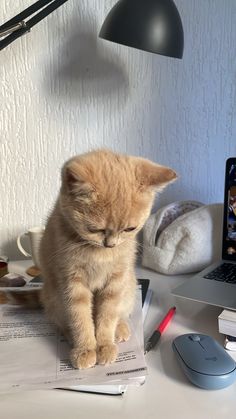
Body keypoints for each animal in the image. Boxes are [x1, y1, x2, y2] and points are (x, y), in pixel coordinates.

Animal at [38, 149, 176, 370]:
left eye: (129, 229)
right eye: (95, 230)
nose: (111, 244)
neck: (99, 254)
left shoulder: (116, 281)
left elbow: (108, 315)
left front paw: (104, 345)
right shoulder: (72, 282)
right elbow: (79, 317)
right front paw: (85, 348)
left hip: (129, 289)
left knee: (121, 314)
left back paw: (120, 329)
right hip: (53, 299)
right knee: (62, 322)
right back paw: (70, 337)